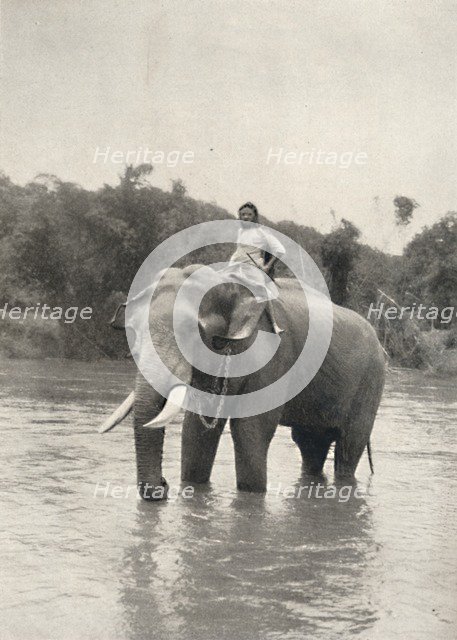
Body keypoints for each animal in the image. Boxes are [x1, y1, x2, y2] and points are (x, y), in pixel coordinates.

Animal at [101, 264, 385, 500]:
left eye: (189, 333)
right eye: (132, 331)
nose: (162, 487)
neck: (227, 283)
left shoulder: (272, 353)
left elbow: (250, 428)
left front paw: (251, 497)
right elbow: (198, 428)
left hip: (371, 381)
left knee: (348, 448)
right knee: (310, 445)